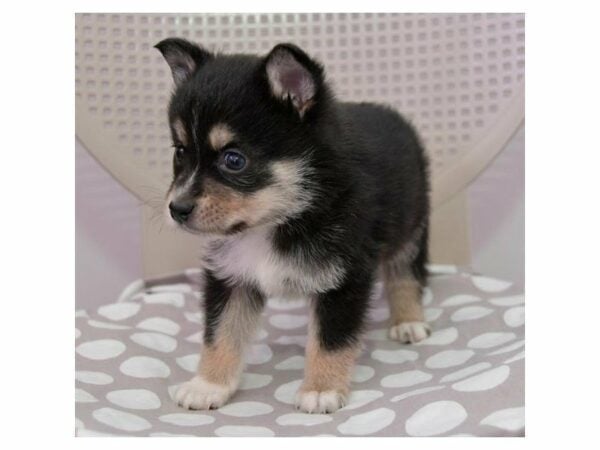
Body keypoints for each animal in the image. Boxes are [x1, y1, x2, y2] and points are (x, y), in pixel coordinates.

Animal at [156, 37, 432, 414]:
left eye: (234, 160)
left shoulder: (344, 279)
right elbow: (220, 333)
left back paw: (408, 322)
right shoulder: (230, 277)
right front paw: (208, 385)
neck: (278, 220)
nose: (177, 209)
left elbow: (330, 339)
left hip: (412, 228)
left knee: (405, 273)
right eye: (180, 152)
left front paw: (321, 389)